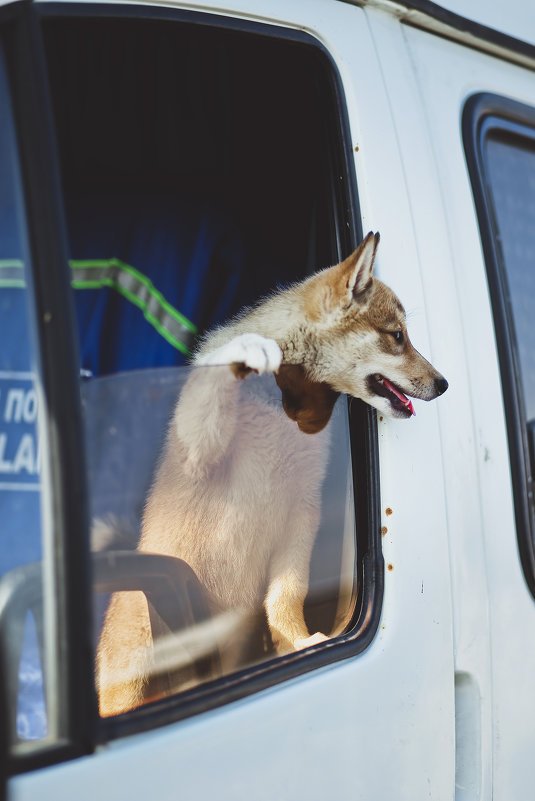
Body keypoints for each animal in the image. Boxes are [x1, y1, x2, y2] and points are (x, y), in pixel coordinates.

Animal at [96, 230, 448, 712]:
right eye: (397, 336)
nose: (444, 384)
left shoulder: (303, 510)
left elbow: (287, 594)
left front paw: (294, 641)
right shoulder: (199, 453)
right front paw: (246, 348)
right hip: (131, 680)